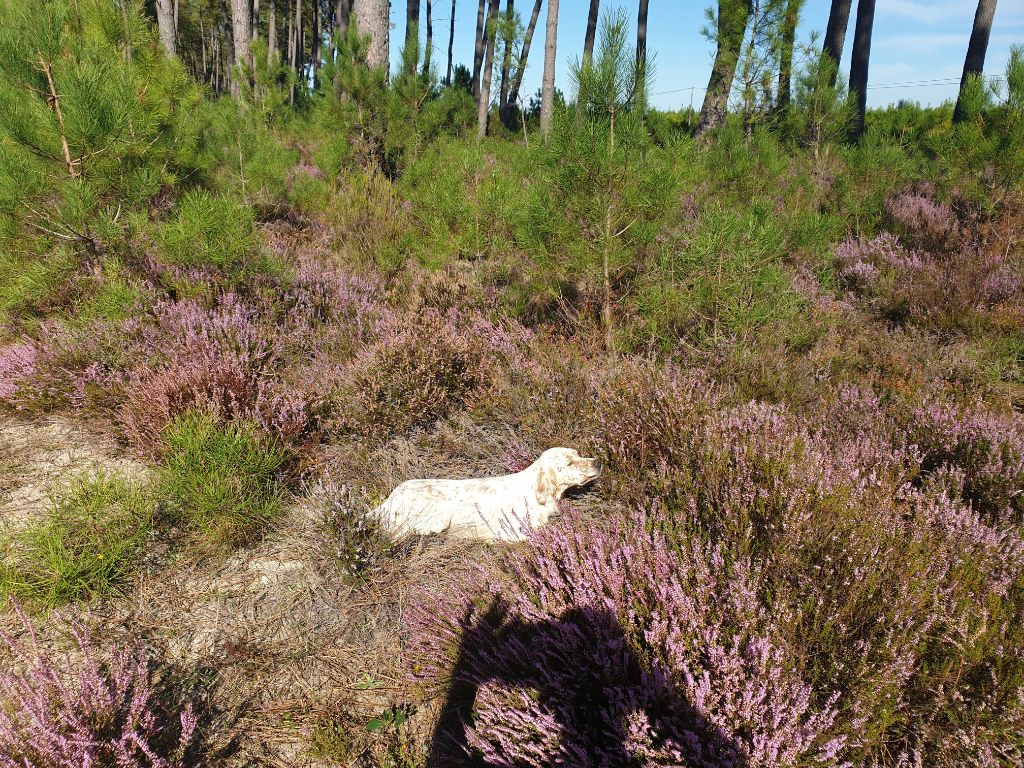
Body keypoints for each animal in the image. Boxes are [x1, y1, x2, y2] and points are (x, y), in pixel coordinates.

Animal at [374, 448, 598, 544]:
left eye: (578, 454)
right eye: (569, 462)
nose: (598, 461)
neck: (536, 492)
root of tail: (391, 498)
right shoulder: (515, 531)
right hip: (436, 519)